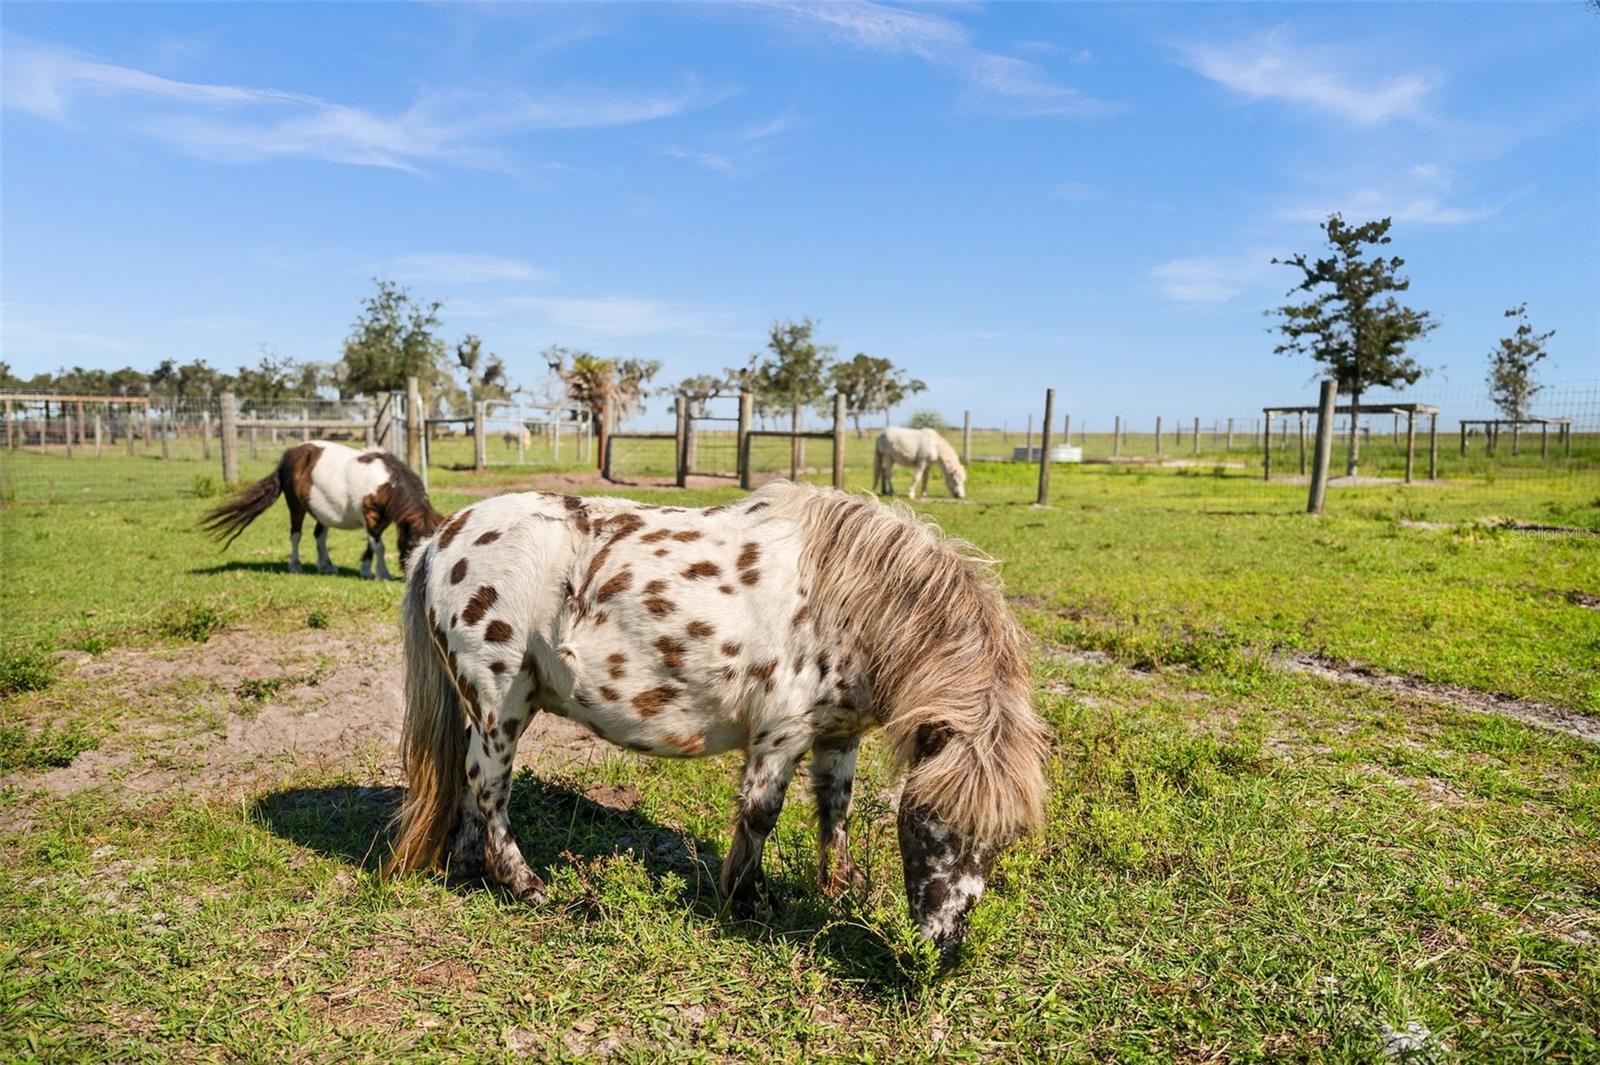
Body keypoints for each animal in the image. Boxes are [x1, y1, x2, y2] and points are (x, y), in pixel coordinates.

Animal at [206, 441, 448, 582]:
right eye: (411, 544)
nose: (417, 578)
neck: (385, 483)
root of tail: (289, 456)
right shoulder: (370, 516)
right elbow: (378, 546)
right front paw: (382, 574)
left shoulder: (382, 519)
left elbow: (372, 545)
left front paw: (365, 569)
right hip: (296, 506)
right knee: (296, 534)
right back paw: (295, 566)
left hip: (320, 510)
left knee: (319, 535)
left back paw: (326, 566)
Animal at [380, 479, 1043, 959]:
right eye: (929, 819)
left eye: (1005, 837)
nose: (945, 950)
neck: (846, 602)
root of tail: (442, 539)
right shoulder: (780, 736)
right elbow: (761, 814)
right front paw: (744, 900)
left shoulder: (838, 735)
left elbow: (836, 808)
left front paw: (841, 886)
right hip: (501, 701)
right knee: (489, 786)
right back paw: (525, 884)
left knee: (471, 783)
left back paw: (469, 867)